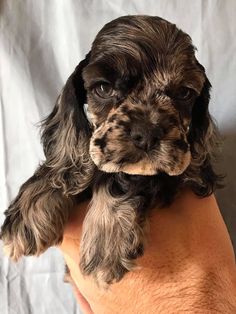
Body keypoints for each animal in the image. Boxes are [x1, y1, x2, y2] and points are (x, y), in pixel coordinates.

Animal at [0, 14, 221, 284]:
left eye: (183, 93)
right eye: (104, 88)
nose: (147, 134)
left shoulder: (172, 177)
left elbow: (121, 177)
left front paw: (105, 242)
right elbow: (69, 166)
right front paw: (26, 214)